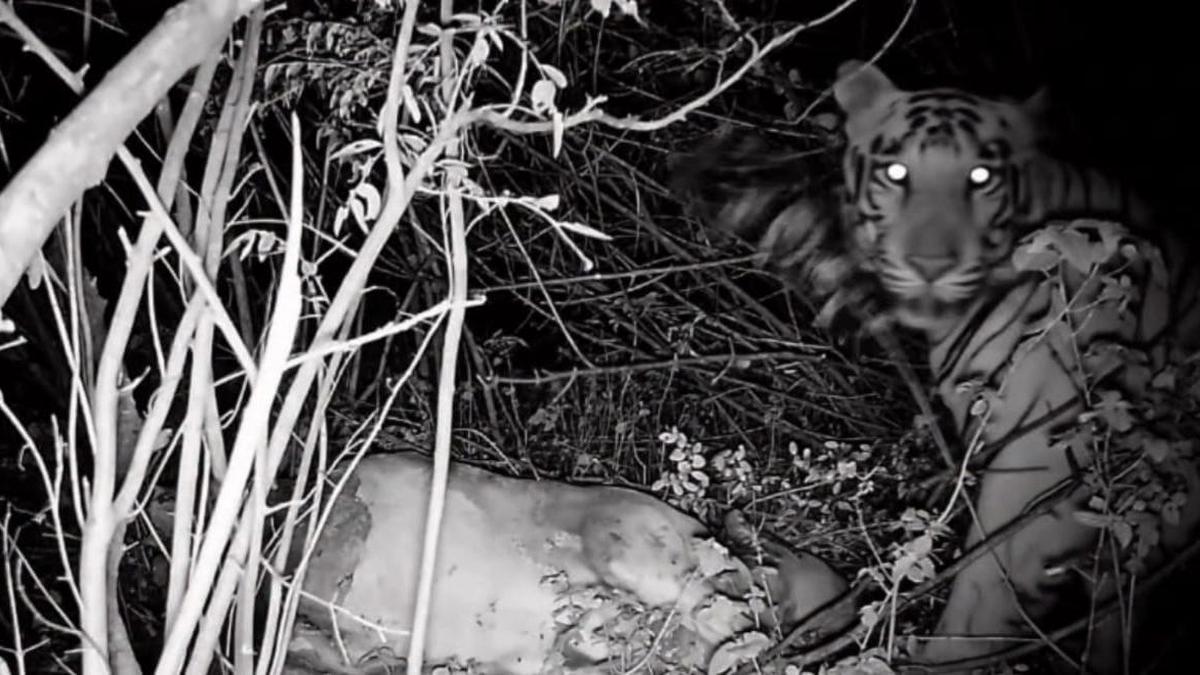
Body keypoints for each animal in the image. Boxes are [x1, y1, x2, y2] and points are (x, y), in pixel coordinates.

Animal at [671, 60, 1200, 673]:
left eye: (981, 177)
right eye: (897, 172)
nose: (929, 264)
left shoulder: (1038, 461)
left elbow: (982, 589)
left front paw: (922, 655)